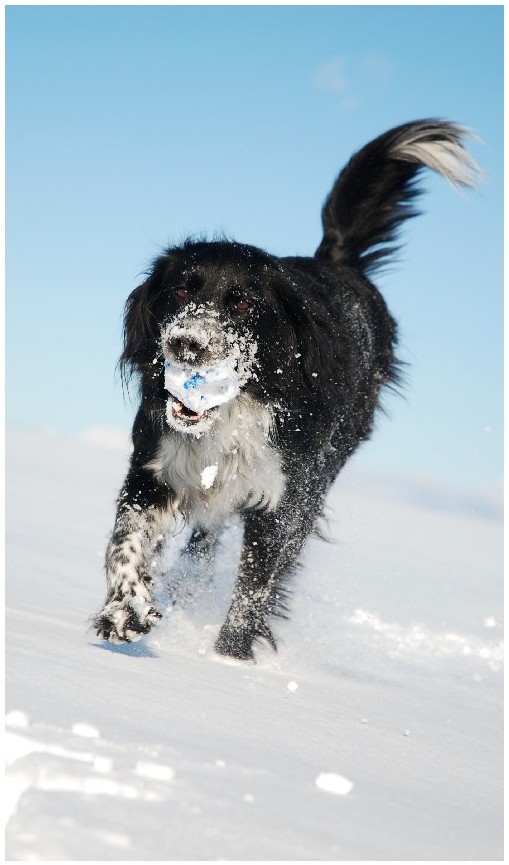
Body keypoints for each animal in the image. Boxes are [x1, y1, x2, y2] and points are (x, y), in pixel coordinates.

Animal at [93, 121, 478, 660]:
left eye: (240, 303)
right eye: (183, 289)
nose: (185, 343)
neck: (235, 408)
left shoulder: (281, 501)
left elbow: (254, 591)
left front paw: (226, 662)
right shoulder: (154, 468)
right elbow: (123, 542)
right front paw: (125, 610)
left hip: (320, 477)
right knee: (203, 543)